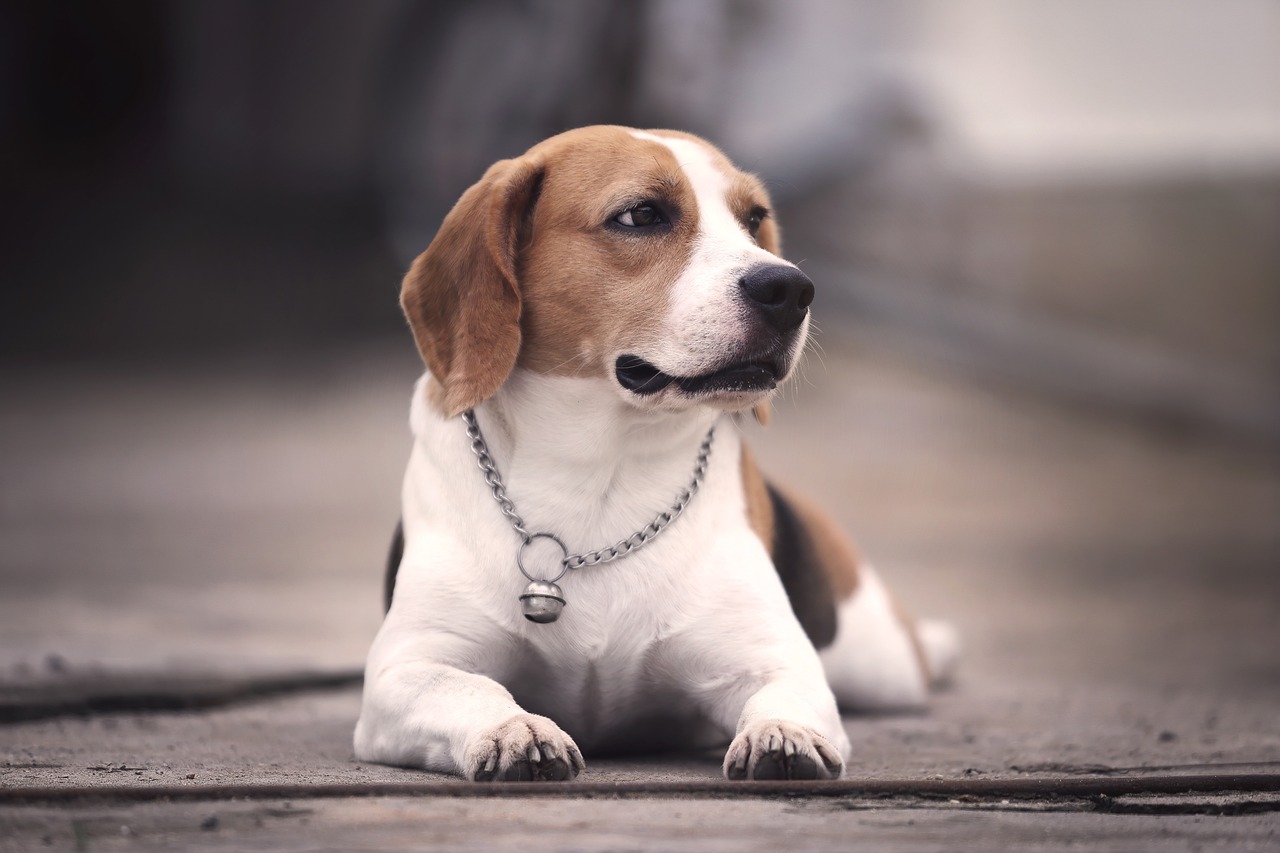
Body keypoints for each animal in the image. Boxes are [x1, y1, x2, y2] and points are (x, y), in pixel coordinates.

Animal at [355, 122, 957, 778]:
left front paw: (782, 734)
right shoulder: (404, 672)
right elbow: (473, 688)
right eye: (642, 215)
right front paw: (516, 729)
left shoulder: (775, 659)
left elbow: (784, 695)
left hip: (881, 665)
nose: (791, 287)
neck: (598, 471)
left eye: (754, 219)